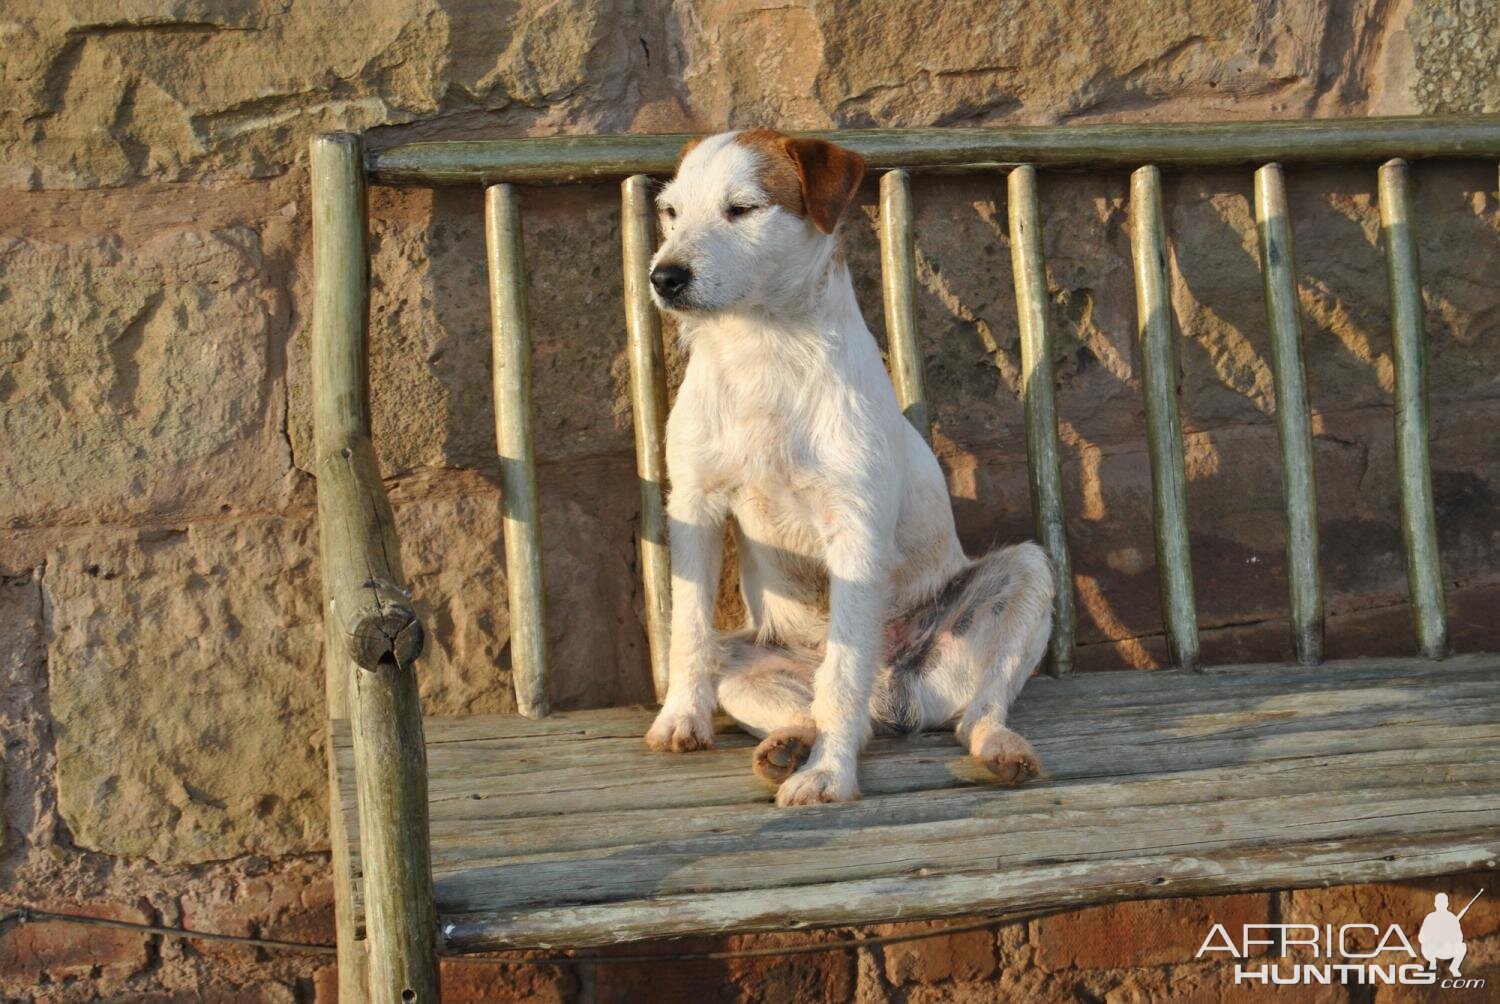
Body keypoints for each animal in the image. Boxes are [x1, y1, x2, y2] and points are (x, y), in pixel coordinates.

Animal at [645, 129, 1056, 804]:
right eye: (671, 212)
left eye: (742, 209)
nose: (664, 277)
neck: (763, 351)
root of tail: (891, 696)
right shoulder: (694, 508)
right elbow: (688, 631)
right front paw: (681, 717)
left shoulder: (855, 529)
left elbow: (843, 677)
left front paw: (830, 777)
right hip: (744, 660)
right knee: (804, 700)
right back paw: (787, 745)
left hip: (1026, 576)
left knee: (968, 708)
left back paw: (996, 747)